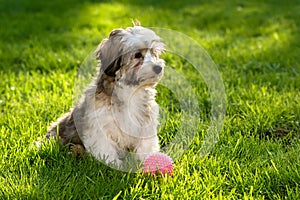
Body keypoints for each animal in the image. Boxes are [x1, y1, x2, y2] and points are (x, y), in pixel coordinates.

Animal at [45, 22, 165, 167]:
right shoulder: (101, 123)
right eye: (137, 55)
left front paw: (150, 159)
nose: (158, 68)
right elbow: (105, 146)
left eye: (154, 53)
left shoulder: (145, 120)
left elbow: (146, 143)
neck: (130, 90)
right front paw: (113, 163)